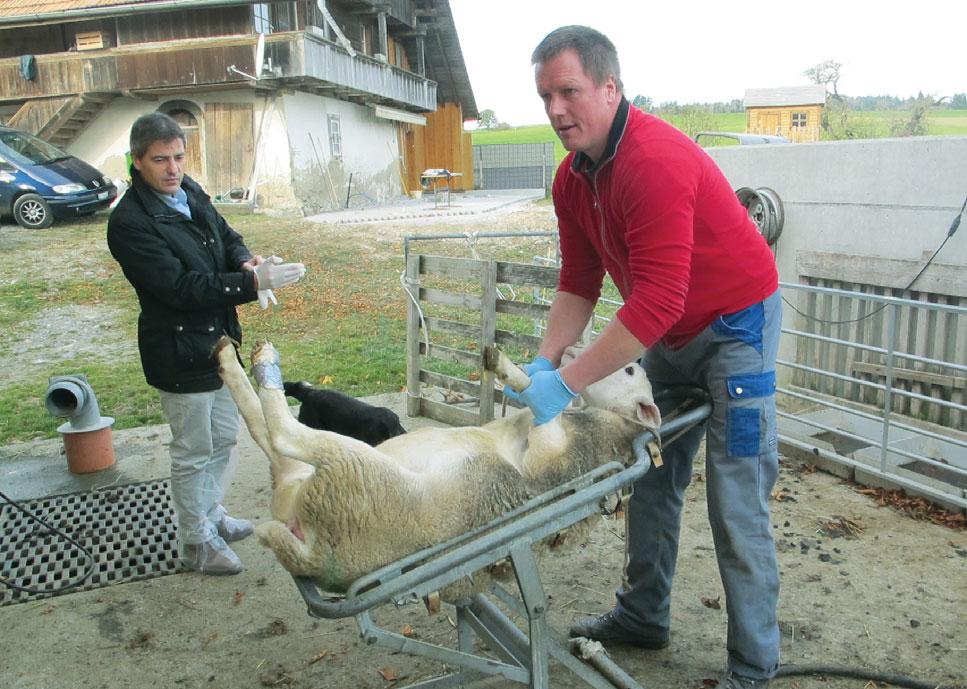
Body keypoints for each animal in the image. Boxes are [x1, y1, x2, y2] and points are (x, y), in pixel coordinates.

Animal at [216, 338, 660, 596]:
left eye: (630, 369)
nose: (574, 350)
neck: (614, 428)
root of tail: (314, 554)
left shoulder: (545, 442)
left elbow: (533, 393)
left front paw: (508, 367)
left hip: (353, 464)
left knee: (281, 432)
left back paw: (263, 363)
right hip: (306, 474)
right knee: (262, 429)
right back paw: (229, 358)